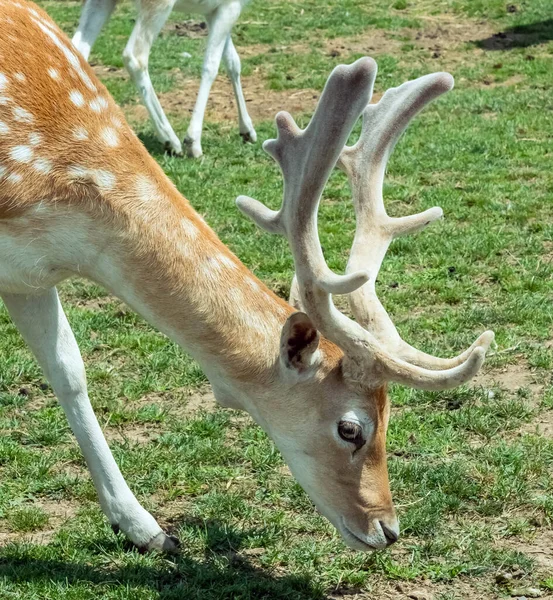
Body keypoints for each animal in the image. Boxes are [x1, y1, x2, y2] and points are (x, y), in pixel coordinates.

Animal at [70, 0, 256, 158]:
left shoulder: (213, 11)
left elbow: (233, 62)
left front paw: (248, 131)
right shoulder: (231, 6)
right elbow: (211, 66)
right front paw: (193, 142)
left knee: (77, 48)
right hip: (158, 4)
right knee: (135, 56)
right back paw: (170, 140)